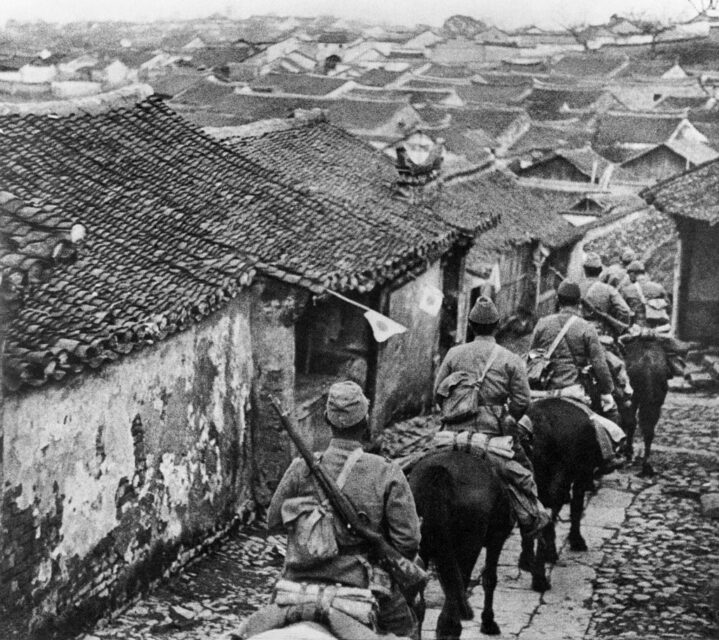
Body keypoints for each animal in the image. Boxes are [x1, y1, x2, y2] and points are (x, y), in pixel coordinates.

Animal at [408, 448, 544, 636]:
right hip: (469, 546)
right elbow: (490, 579)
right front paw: (488, 622)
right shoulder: (497, 539)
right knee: (457, 591)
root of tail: (440, 472)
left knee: (421, 601)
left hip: (421, 546)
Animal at [620, 336, 672, 476]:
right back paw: (646, 464)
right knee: (649, 430)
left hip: (634, 398)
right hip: (654, 403)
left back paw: (629, 453)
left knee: (632, 422)